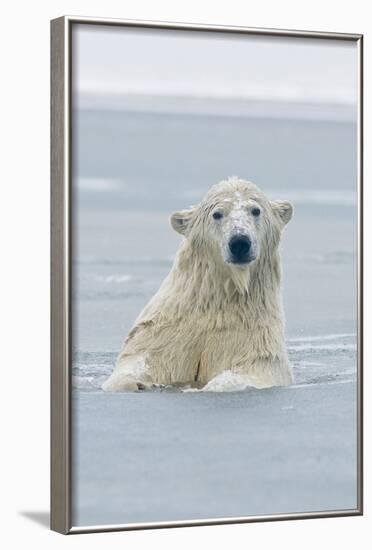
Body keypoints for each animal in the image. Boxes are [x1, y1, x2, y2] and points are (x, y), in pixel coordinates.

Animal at [102, 177, 294, 392]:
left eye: (255, 210)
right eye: (217, 214)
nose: (239, 242)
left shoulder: (255, 338)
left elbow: (252, 369)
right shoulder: (165, 331)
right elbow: (142, 358)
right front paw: (137, 383)